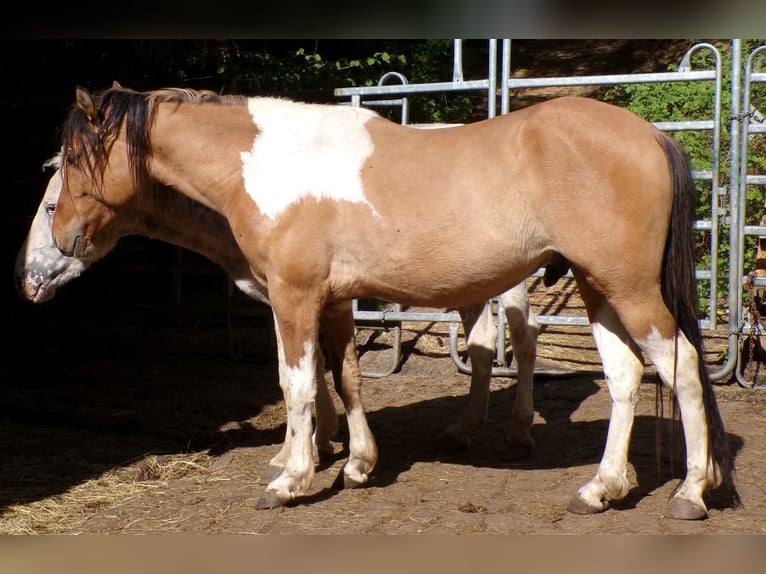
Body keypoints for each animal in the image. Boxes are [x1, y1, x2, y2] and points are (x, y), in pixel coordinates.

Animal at [15, 151, 539, 476]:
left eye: (50, 206)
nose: (26, 281)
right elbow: (307, 369)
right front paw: (320, 441)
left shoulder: (307, 295)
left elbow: (305, 371)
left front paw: (301, 452)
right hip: (472, 286)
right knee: (484, 342)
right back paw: (464, 430)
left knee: (521, 335)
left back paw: (517, 432)